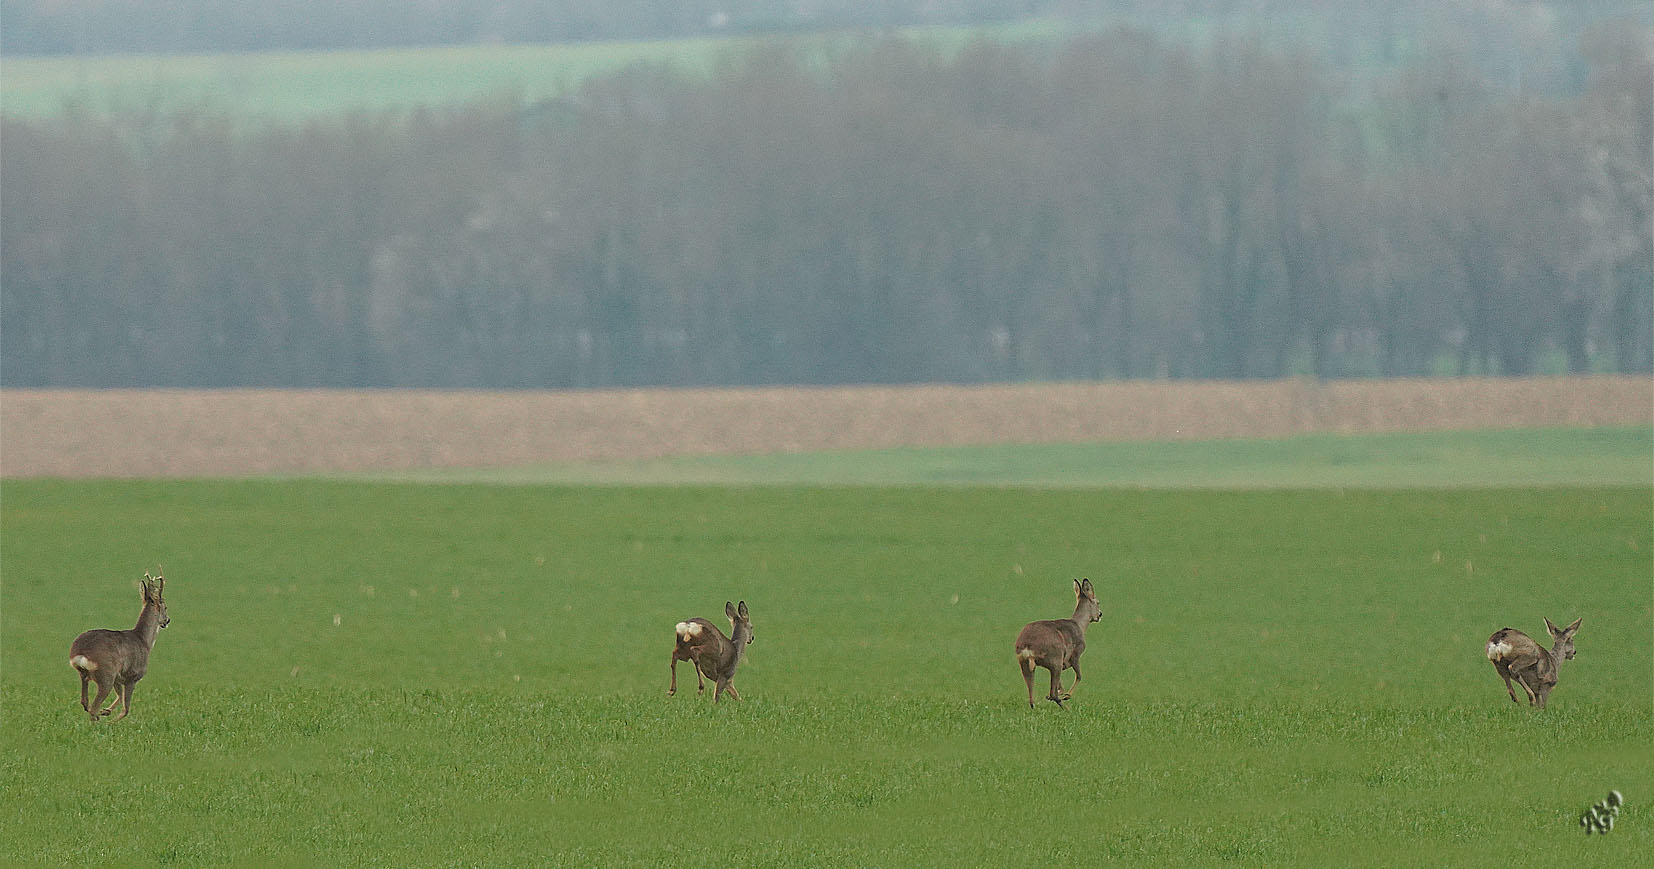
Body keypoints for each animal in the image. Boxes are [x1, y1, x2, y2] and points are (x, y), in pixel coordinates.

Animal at [67, 566, 169, 721]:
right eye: (165, 606)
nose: (167, 620)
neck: (144, 641)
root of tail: (80, 653)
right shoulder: (132, 676)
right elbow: (125, 709)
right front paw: (110, 719)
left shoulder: (118, 678)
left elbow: (120, 698)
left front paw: (106, 711)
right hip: (106, 674)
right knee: (93, 708)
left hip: (85, 675)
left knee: (85, 703)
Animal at [1005, 576, 1098, 705]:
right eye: (1098, 602)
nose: (1100, 614)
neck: (1080, 625)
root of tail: (1027, 646)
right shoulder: (1075, 655)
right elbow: (1079, 676)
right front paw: (1067, 696)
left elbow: (1061, 685)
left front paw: (1060, 694)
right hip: (1054, 660)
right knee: (1053, 694)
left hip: (1025, 663)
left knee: (1032, 697)